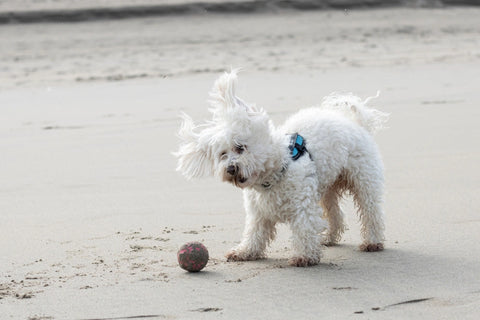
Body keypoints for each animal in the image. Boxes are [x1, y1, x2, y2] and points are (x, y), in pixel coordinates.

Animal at [174, 71, 388, 266]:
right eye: (222, 155)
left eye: (240, 147)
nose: (231, 168)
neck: (276, 172)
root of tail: (354, 122)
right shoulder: (258, 212)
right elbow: (255, 233)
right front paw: (245, 251)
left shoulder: (302, 205)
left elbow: (304, 228)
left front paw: (304, 256)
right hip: (327, 188)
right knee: (335, 212)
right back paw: (329, 237)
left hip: (363, 180)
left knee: (371, 212)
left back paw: (372, 241)